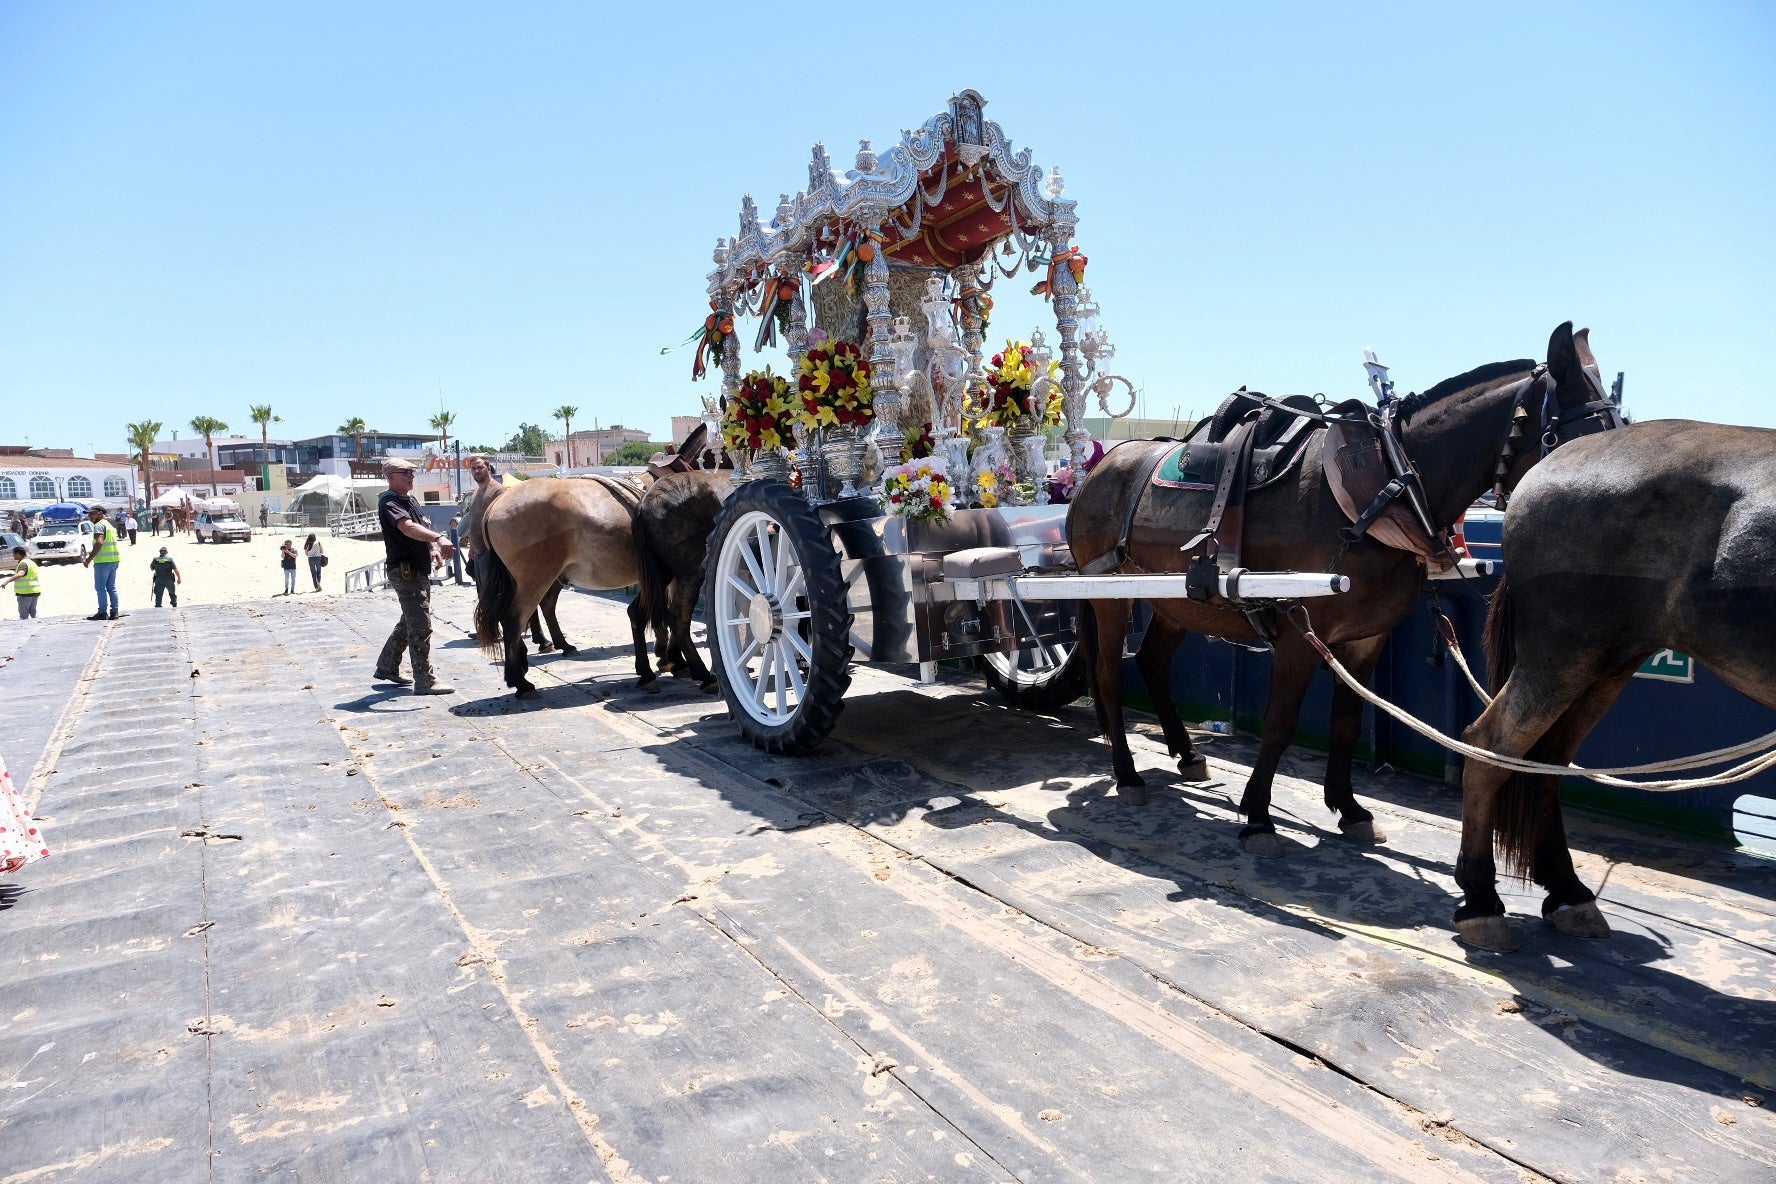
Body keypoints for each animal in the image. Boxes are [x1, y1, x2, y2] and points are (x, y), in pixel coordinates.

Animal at [1058, 326, 1619, 862]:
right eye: (1582, 438)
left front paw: (1349, 808)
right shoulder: (1297, 631)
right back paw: (1127, 773)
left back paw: (1186, 752)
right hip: (1109, 594)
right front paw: (1258, 816)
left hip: (1175, 600)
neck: (1382, 491)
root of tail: (1097, 470)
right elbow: (1280, 723)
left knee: (1152, 663)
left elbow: (1347, 722)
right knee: (1108, 677)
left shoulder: (1366, 639)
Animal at [1449, 420, 1768, 951]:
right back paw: (1481, 901)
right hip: (1561, 655)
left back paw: (1567, 892)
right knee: (1490, 745)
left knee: (1545, 761)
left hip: (1607, 663)